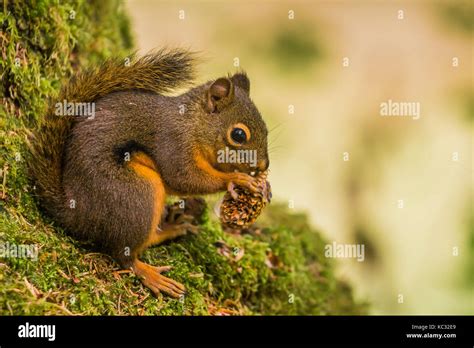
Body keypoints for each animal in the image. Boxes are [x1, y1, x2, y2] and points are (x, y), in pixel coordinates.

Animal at [29, 49, 270, 298]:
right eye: (238, 135)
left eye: (266, 130)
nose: (264, 165)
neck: (192, 125)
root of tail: (75, 214)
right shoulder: (173, 143)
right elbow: (184, 178)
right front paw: (237, 180)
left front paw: (264, 187)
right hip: (137, 193)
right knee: (123, 254)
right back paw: (150, 274)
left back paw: (172, 227)